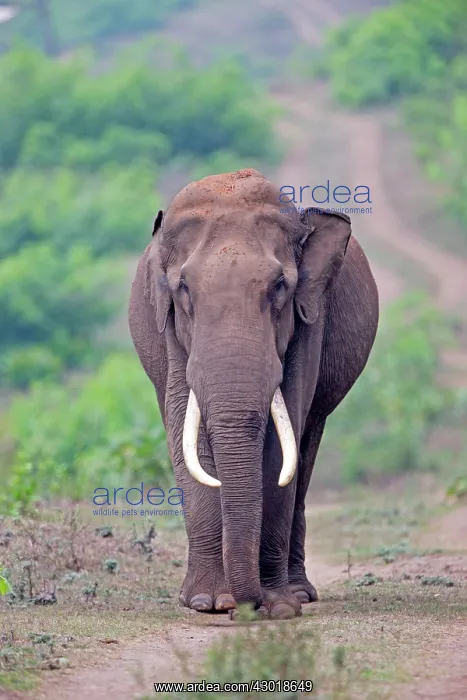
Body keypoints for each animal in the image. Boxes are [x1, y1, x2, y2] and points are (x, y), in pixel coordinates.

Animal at [128, 168, 378, 620]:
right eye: (183, 288)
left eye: (280, 285)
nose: (247, 605)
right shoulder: (169, 326)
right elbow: (181, 418)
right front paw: (207, 603)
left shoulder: (308, 317)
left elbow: (285, 434)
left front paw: (280, 608)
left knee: (306, 447)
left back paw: (300, 594)